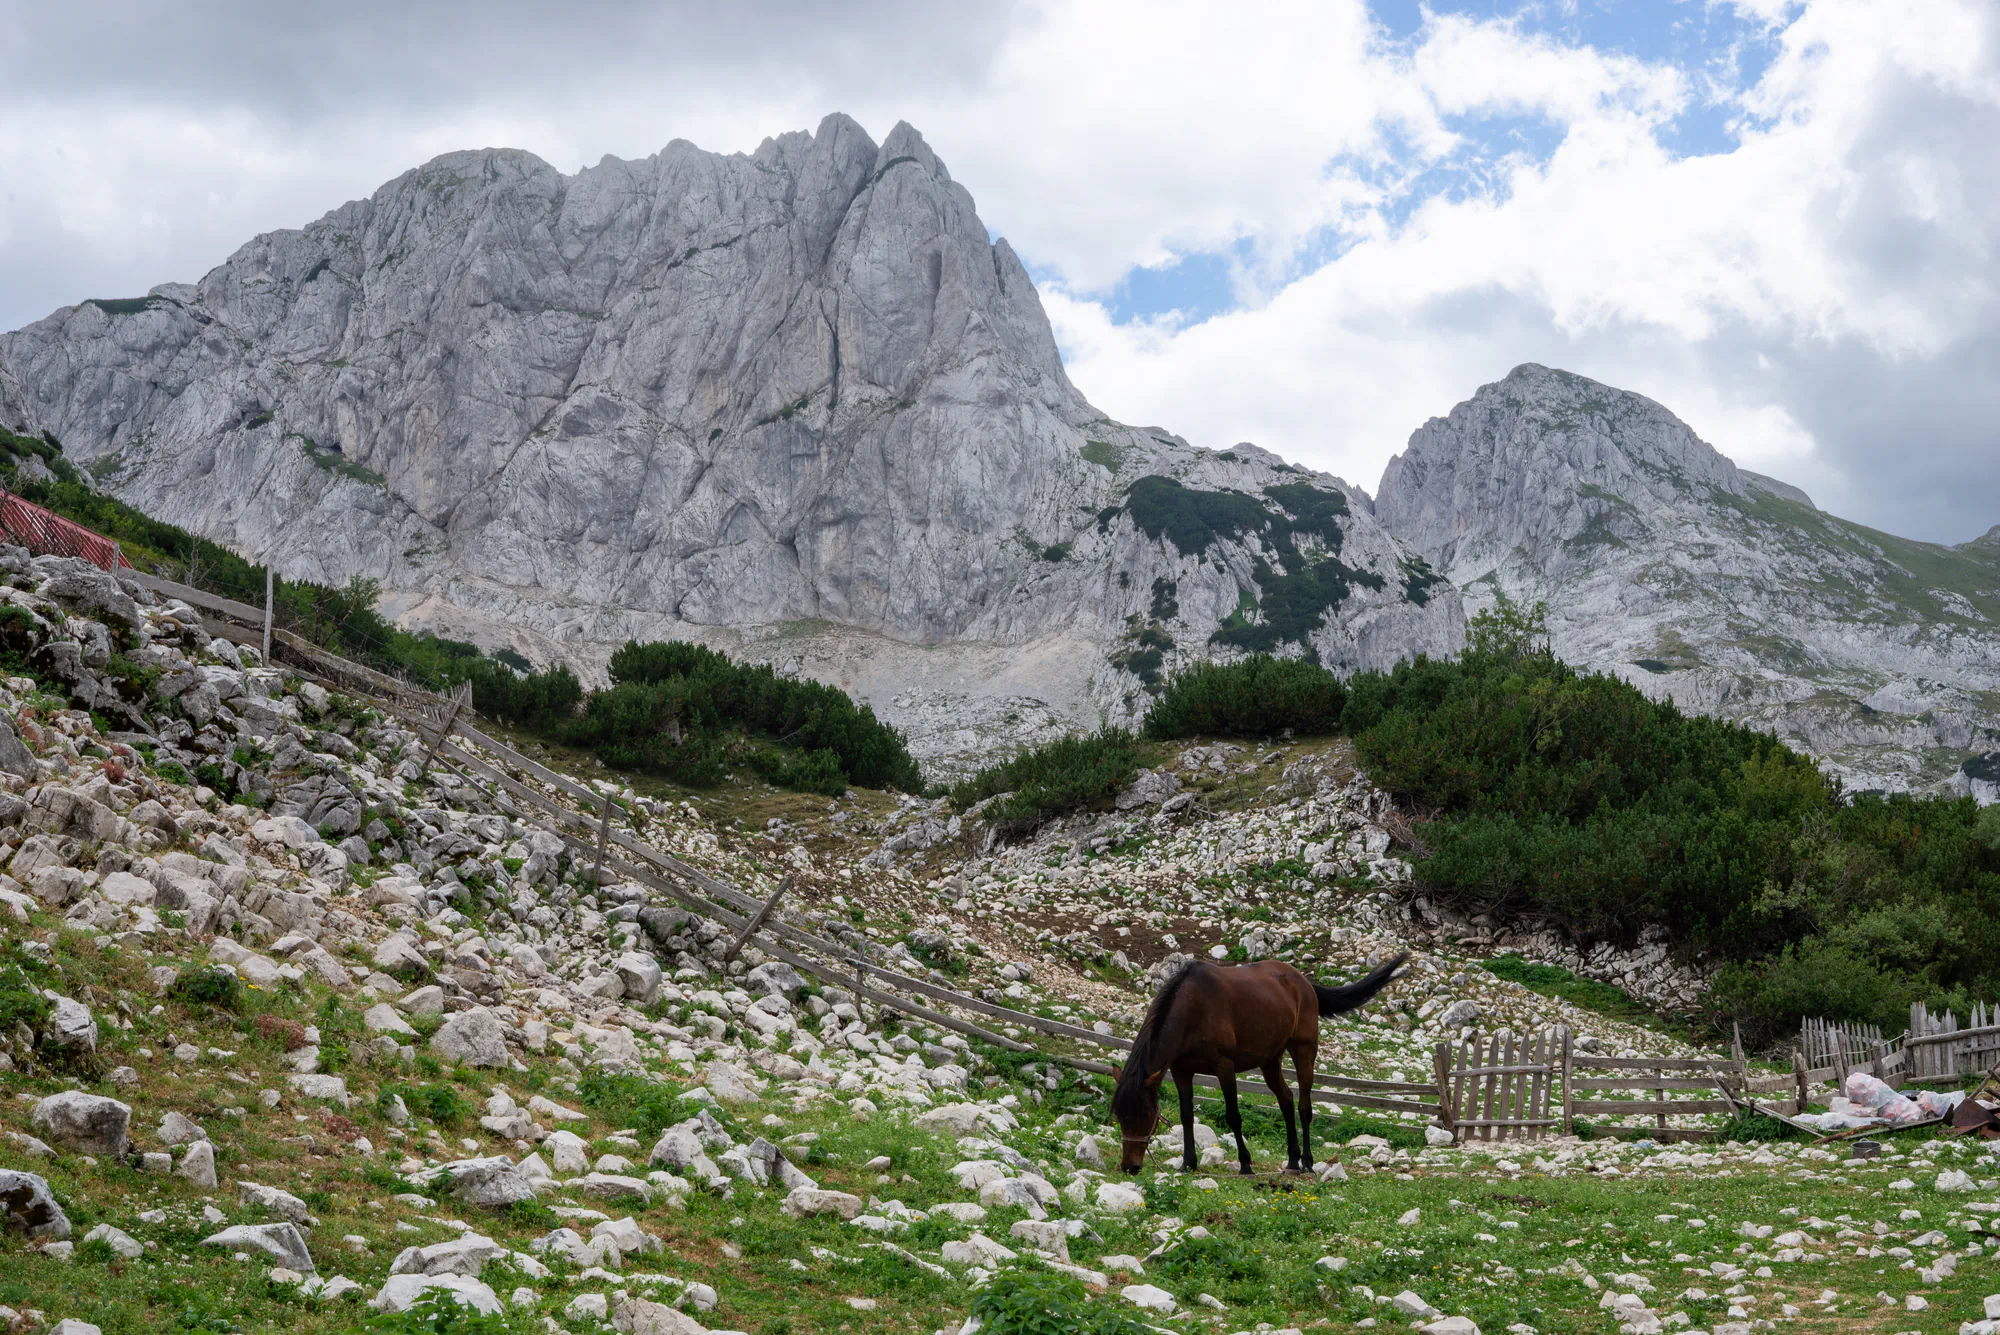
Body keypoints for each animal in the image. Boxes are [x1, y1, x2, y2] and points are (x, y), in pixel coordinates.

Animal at [1110, 954, 1407, 1175]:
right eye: (1120, 1116)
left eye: (1145, 1115)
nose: (1130, 1167)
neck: (1193, 1008)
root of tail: (1303, 982)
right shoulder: (1182, 1070)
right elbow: (1186, 1115)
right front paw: (1188, 1163)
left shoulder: (1224, 1068)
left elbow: (1233, 1115)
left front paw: (1245, 1164)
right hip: (1270, 1061)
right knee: (1286, 1100)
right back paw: (1292, 1161)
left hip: (1304, 1050)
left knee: (1304, 1106)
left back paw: (1307, 1163)